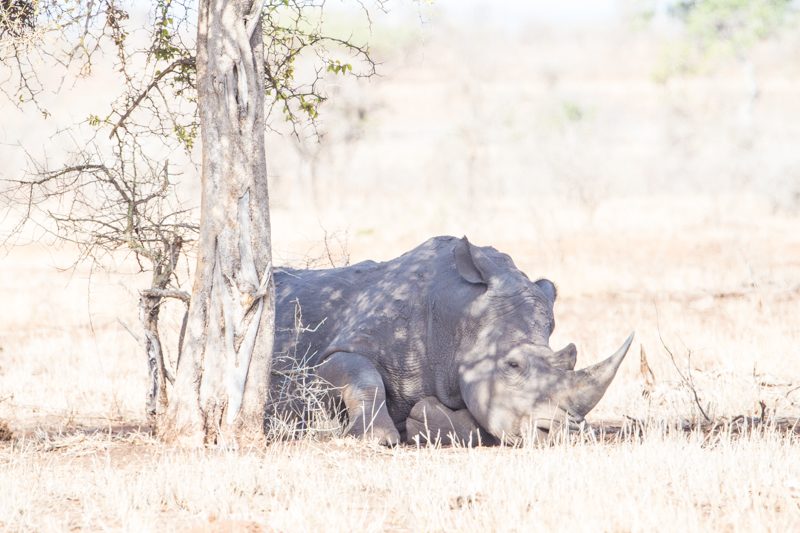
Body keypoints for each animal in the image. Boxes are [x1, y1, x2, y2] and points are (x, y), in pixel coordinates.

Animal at [268, 235, 632, 442]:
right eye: (512, 365)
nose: (560, 433)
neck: (459, 315)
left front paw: (422, 421)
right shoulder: (338, 350)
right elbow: (361, 375)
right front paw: (377, 437)